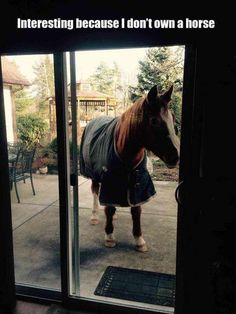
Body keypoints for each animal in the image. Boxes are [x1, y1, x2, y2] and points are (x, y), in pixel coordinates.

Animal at [79, 85, 179, 253]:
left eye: (172, 117)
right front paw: (109, 236)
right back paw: (94, 216)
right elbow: (109, 208)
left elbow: (136, 211)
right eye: (154, 120)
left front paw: (139, 239)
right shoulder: (110, 181)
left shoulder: (139, 183)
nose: (176, 156)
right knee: (95, 192)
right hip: (94, 175)